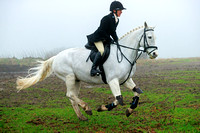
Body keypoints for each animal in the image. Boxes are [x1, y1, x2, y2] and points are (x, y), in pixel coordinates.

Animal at [16, 22, 158, 121]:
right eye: (149, 37)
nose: (154, 54)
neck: (123, 54)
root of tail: (56, 57)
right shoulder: (113, 80)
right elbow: (118, 99)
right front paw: (102, 108)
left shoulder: (126, 80)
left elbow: (137, 93)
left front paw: (129, 110)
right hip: (69, 77)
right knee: (70, 95)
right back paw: (87, 108)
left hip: (76, 80)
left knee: (72, 97)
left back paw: (82, 116)